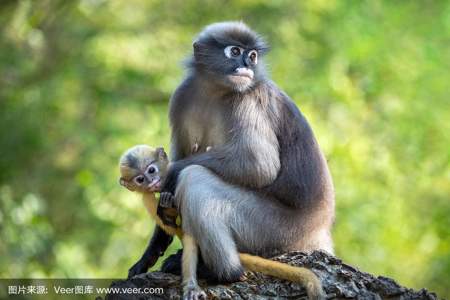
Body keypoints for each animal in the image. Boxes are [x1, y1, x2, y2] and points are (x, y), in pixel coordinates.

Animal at [118, 144, 324, 298]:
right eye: (140, 179)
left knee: (194, 180)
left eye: (151, 170)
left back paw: (225, 272)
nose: (151, 182)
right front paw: (145, 260)